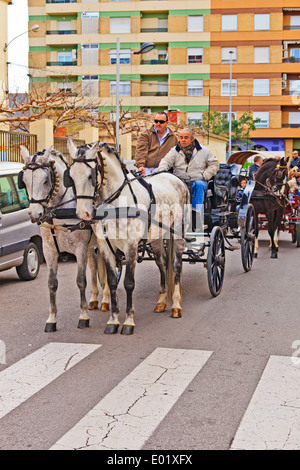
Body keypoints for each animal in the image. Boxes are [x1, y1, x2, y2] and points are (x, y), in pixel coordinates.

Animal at [19, 145, 110, 332]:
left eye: (45, 180)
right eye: (24, 181)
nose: (34, 214)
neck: (58, 212)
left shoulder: (80, 248)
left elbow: (81, 280)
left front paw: (83, 317)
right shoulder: (49, 250)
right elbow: (52, 283)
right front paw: (51, 319)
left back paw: (105, 298)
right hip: (91, 247)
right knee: (94, 267)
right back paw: (94, 299)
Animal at [67, 138, 191, 336]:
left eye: (91, 175)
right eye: (70, 176)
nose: (83, 213)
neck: (116, 202)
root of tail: (177, 179)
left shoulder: (131, 245)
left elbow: (129, 283)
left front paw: (128, 321)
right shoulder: (105, 247)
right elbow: (111, 282)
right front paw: (113, 320)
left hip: (178, 231)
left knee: (177, 265)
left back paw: (176, 305)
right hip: (156, 237)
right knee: (163, 264)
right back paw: (161, 301)